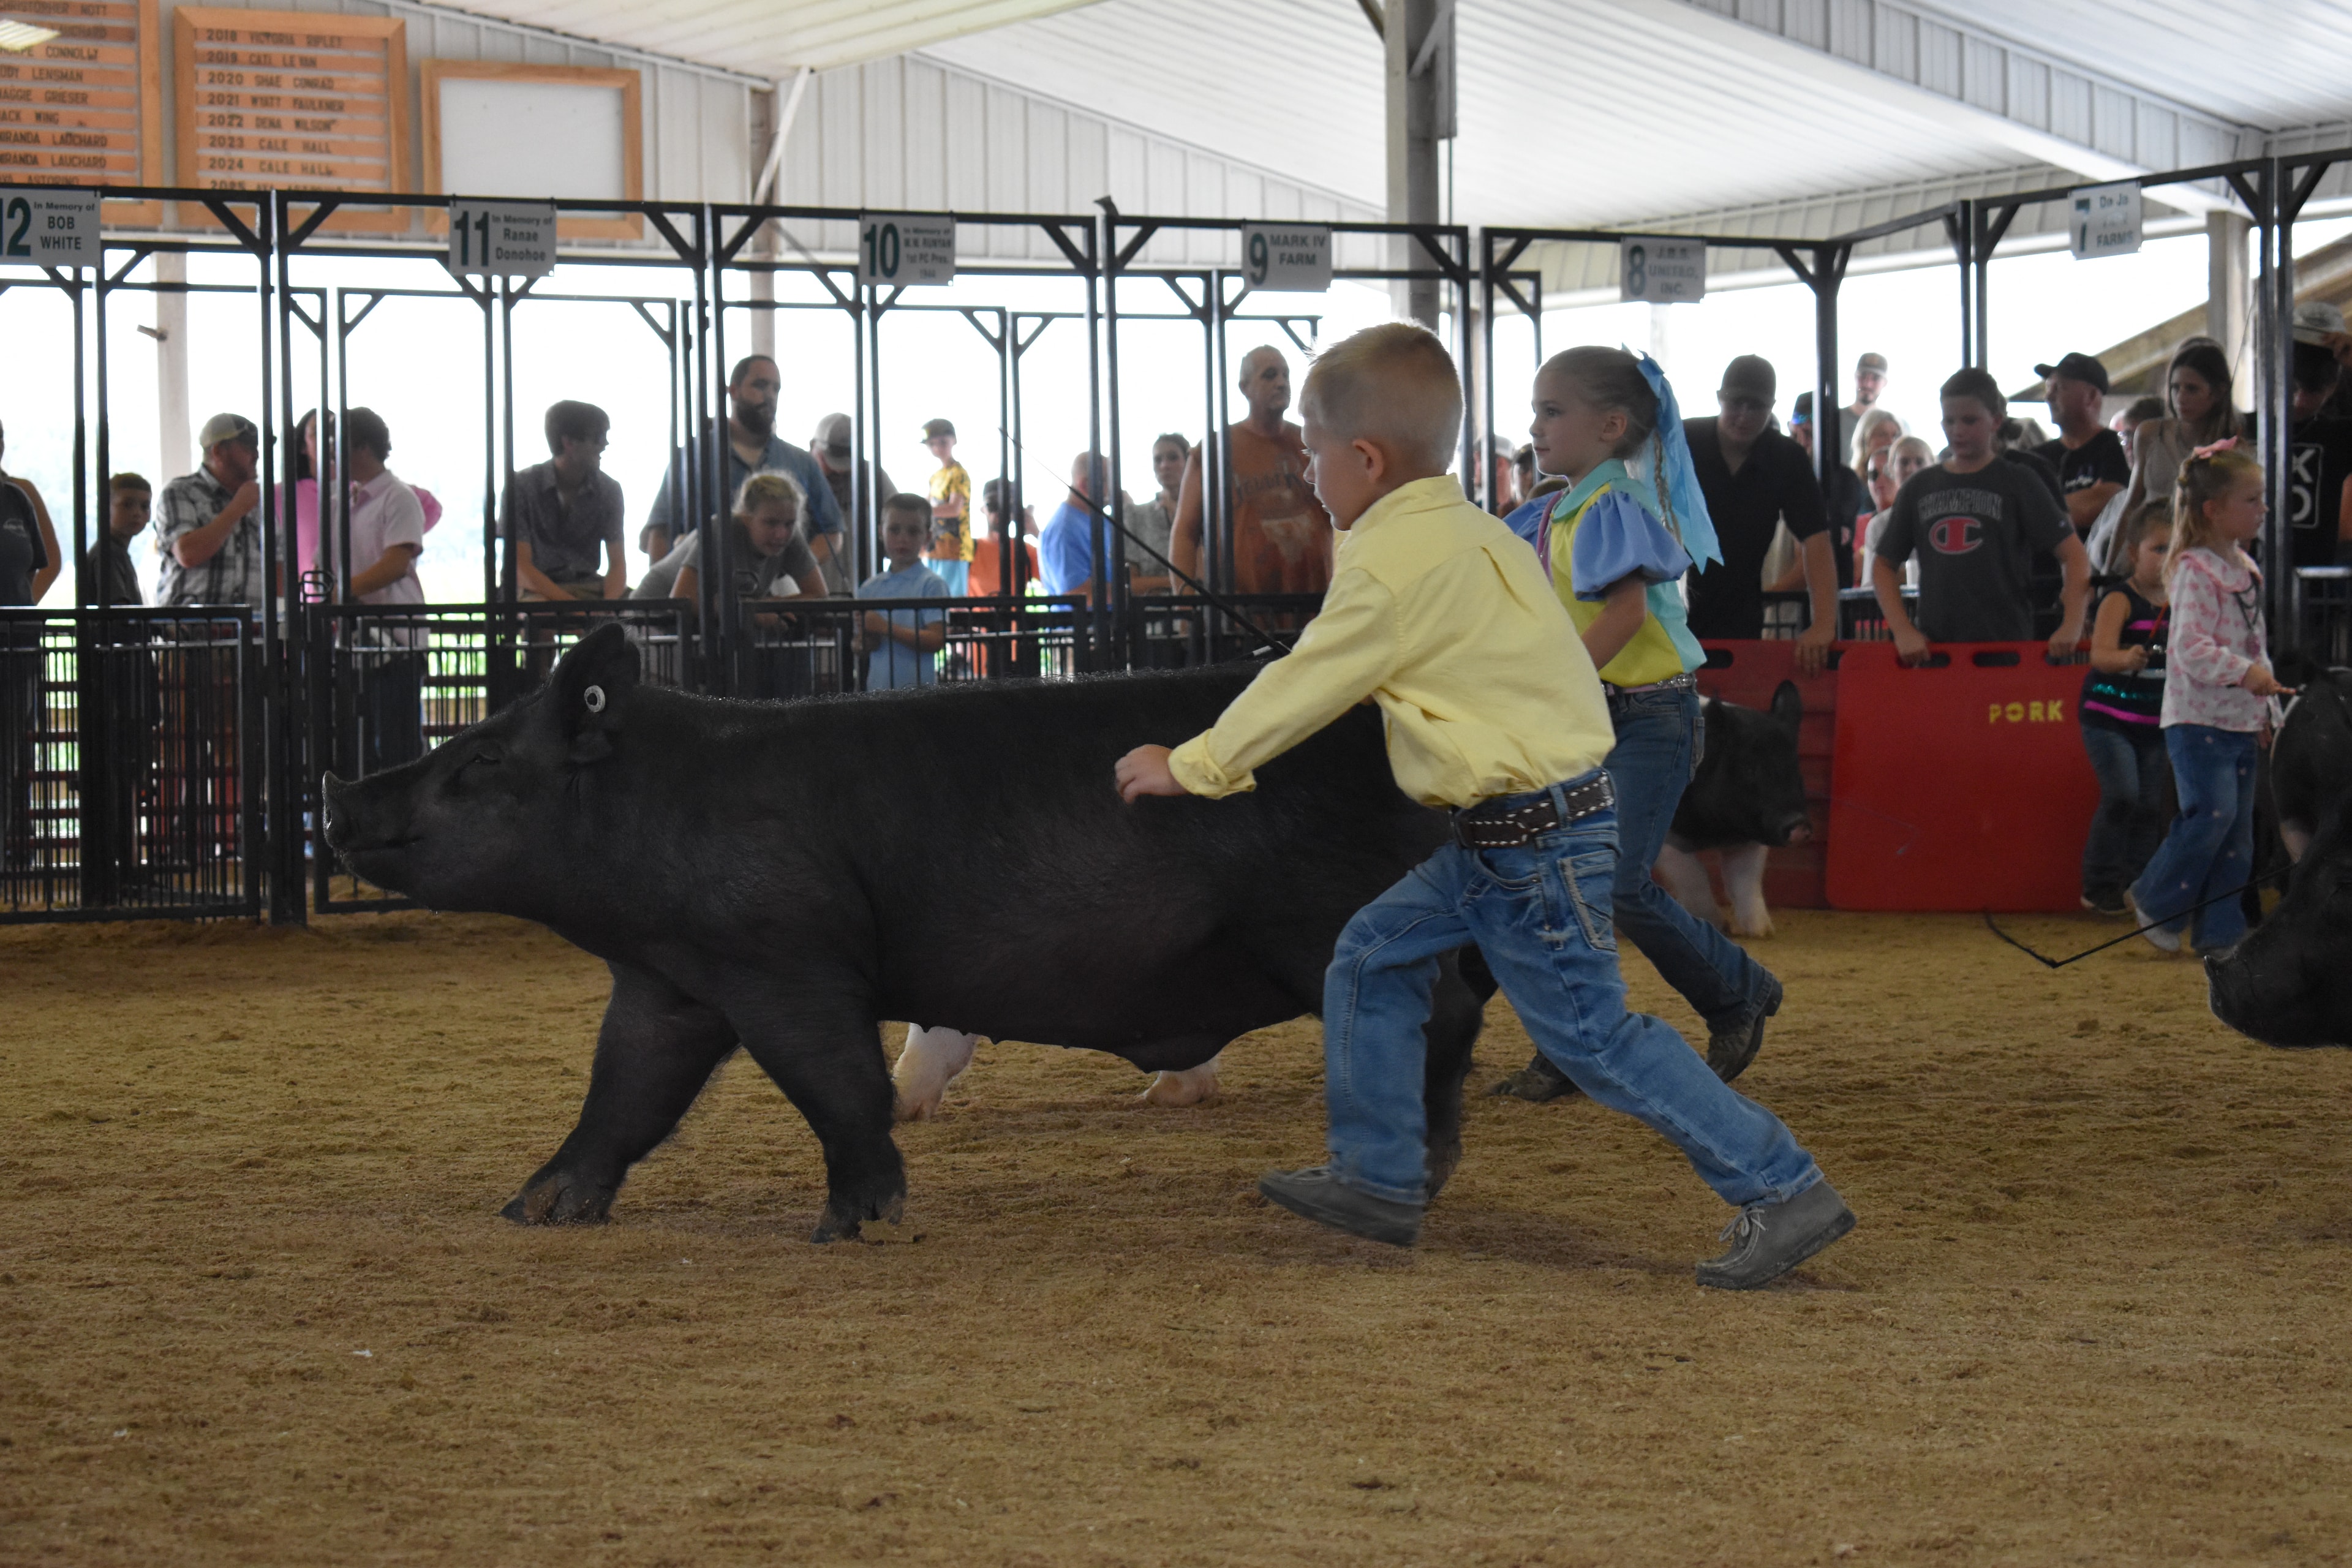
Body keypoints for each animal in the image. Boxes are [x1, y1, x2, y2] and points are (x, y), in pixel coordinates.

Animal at [319, 623, 1490, 1242]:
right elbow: (623, 1095)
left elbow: (835, 1086)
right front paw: (533, 1208)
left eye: (481, 760)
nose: (343, 793)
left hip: (1331, 921)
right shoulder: (672, 983)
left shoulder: (786, 960)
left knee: (1439, 1017)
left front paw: (850, 1223)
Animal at [1652, 685, 1812, 939]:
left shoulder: (1750, 839)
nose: (1799, 824)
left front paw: (1762, 931)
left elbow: (1747, 880)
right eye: (1749, 768)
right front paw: (1718, 926)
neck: (1717, 832)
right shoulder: (1664, 839)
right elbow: (1694, 874)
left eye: (1795, 769)